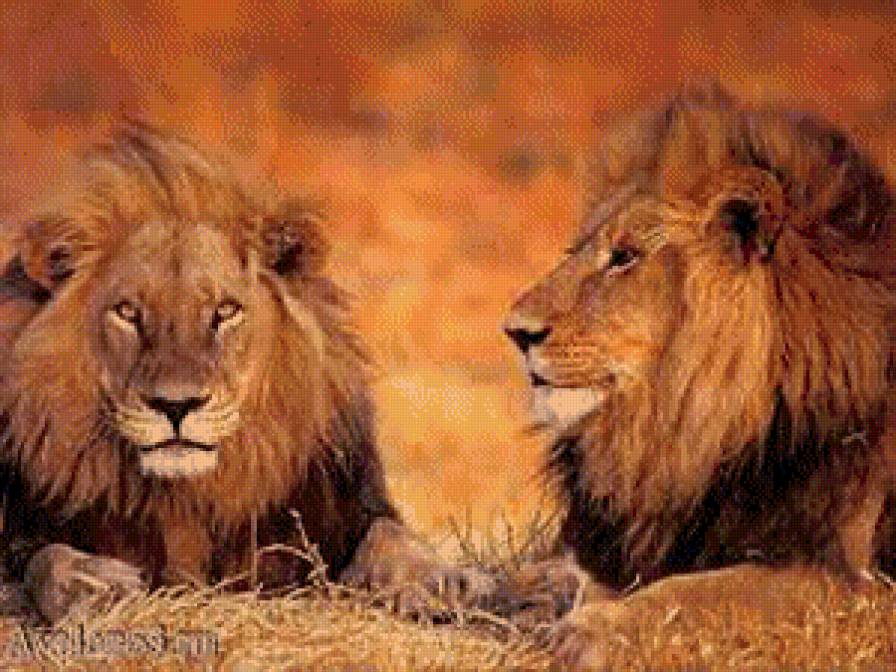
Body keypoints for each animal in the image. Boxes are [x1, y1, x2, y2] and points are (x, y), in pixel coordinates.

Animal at [0, 123, 491, 623]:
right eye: (128, 312)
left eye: (225, 311)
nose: (176, 405)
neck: (188, 500)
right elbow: (45, 558)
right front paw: (92, 586)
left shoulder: (341, 510)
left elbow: (389, 533)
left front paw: (436, 581)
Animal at [502, 82, 896, 669]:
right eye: (576, 252)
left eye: (625, 257)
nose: (515, 332)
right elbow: (594, 580)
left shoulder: (855, 584)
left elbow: (702, 593)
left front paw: (592, 630)